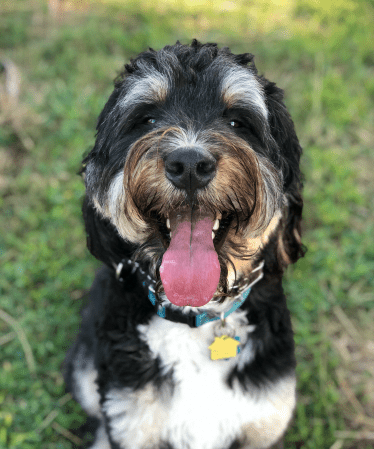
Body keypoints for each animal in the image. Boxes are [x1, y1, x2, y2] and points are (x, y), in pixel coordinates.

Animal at [63, 39, 304, 448]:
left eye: (238, 122)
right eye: (147, 120)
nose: (189, 164)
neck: (194, 316)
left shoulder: (264, 421)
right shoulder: (131, 420)